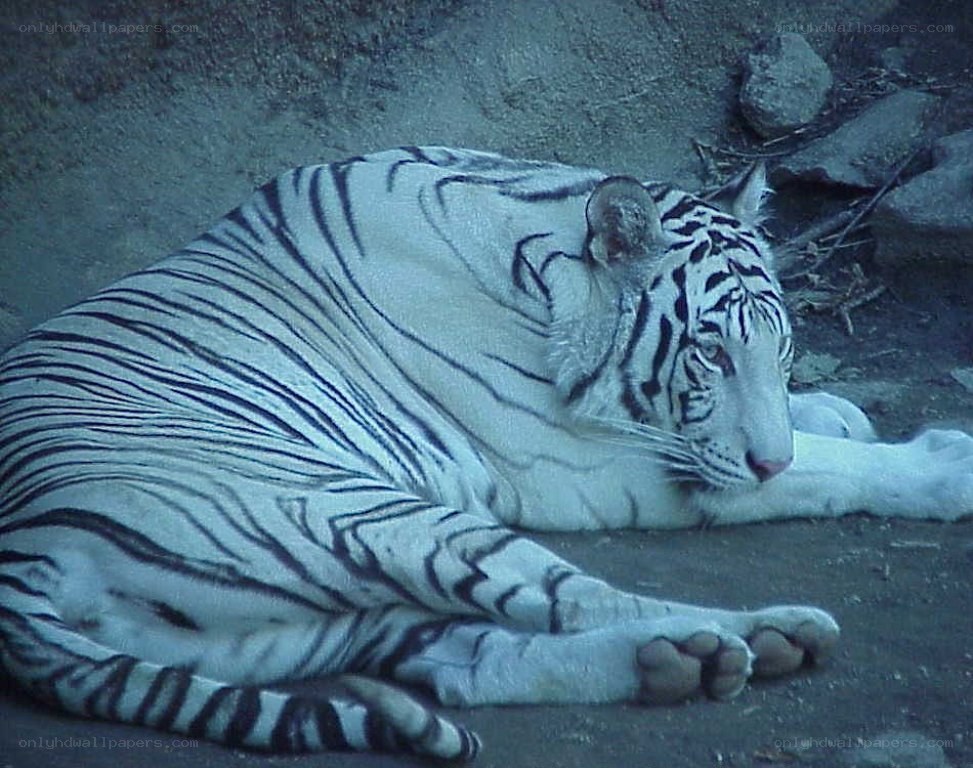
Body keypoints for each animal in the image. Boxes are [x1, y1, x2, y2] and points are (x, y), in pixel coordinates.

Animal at [1, 146, 972, 762]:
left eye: (777, 350)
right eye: (709, 355)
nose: (762, 456)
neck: (535, 257)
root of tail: (31, 558)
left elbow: (809, 435)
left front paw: (834, 409)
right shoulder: (600, 466)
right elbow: (812, 470)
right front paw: (941, 464)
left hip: (295, 624)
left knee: (471, 664)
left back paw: (700, 657)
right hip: (367, 514)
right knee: (582, 599)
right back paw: (740, 636)